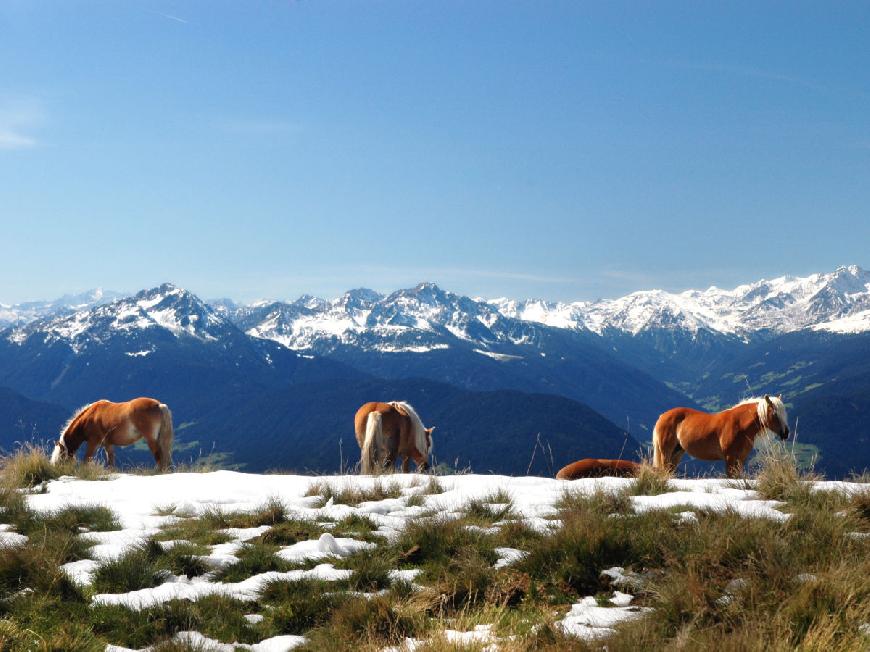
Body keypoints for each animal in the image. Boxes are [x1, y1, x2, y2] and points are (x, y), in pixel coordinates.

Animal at [656, 392, 792, 478]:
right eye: (774, 414)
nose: (786, 433)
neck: (739, 425)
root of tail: (663, 416)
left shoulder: (741, 458)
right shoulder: (729, 457)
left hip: (677, 452)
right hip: (666, 452)